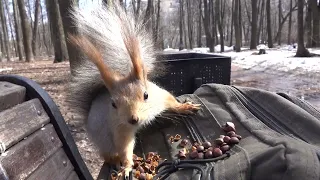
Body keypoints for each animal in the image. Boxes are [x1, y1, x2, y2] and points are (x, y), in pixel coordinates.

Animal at [67, 2, 201, 179]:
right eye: (113, 104)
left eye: (146, 95)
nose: (133, 119)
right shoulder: (120, 127)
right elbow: (125, 147)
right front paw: (127, 166)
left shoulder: (160, 96)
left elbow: (172, 101)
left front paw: (185, 107)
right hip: (104, 140)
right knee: (109, 154)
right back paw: (115, 161)